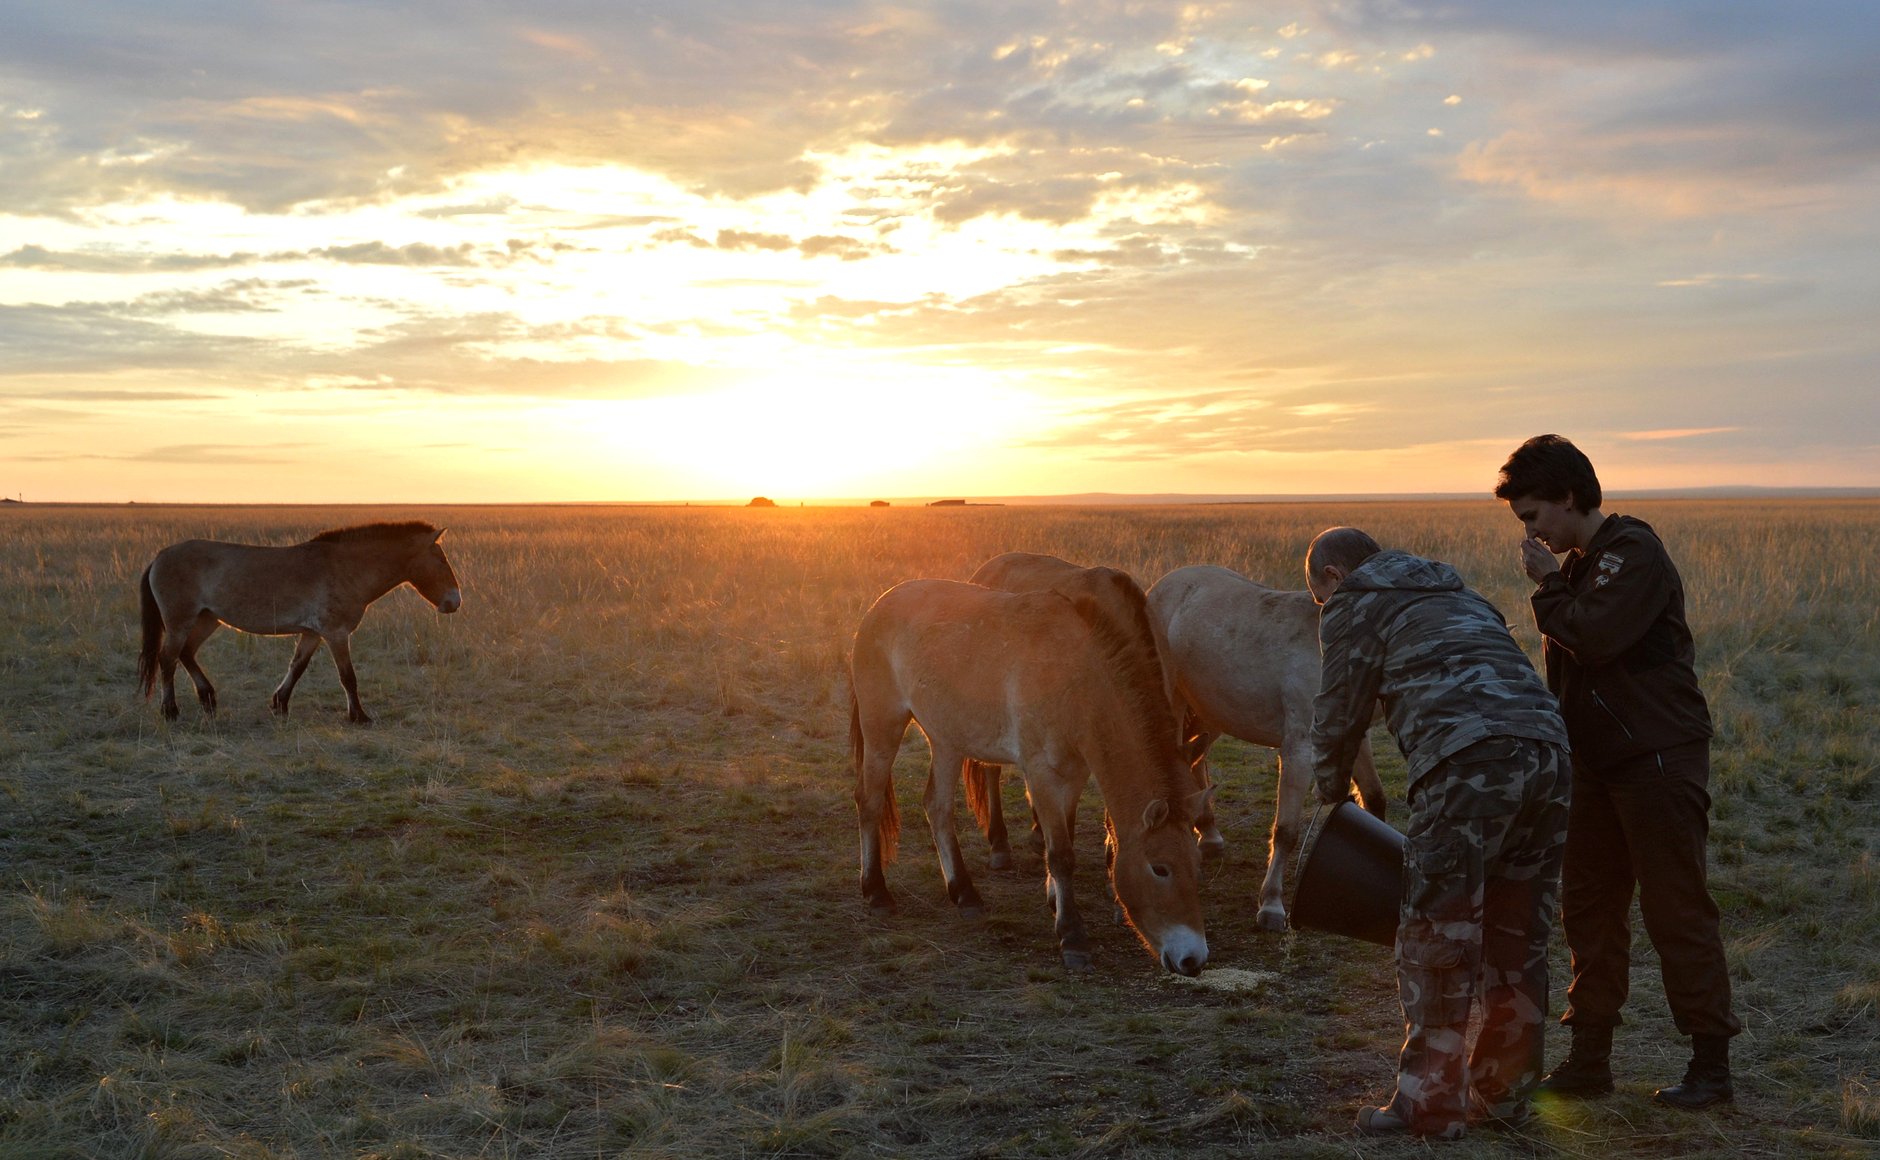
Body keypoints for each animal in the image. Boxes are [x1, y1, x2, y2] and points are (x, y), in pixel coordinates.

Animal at [137, 518, 462, 718]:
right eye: (441, 560)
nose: (454, 602)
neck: (346, 568)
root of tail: (159, 556)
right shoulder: (335, 633)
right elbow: (348, 677)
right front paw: (358, 716)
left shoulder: (312, 633)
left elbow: (297, 666)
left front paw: (280, 704)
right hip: (180, 623)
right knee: (168, 659)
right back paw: (170, 711)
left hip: (207, 619)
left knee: (186, 654)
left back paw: (208, 698)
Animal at [849, 571, 1210, 977]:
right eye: (1160, 868)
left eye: (1196, 865)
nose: (1193, 959)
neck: (1077, 677)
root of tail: (880, 604)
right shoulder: (1041, 774)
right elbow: (1061, 853)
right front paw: (1072, 937)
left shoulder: (1075, 772)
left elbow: (1065, 836)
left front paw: (1055, 900)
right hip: (883, 727)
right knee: (870, 800)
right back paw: (876, 892)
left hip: (946, 740)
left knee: (937, 808)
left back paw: (964, 893)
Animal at [1135, 560, 1391, 932]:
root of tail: (1163, 586)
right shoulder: (1299, 747)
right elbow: (1286, 831)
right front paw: (1271, 904)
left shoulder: (1354, 738)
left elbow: (1374, 798)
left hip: (1212, 712)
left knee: (1194, 762)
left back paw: (1208, 834)